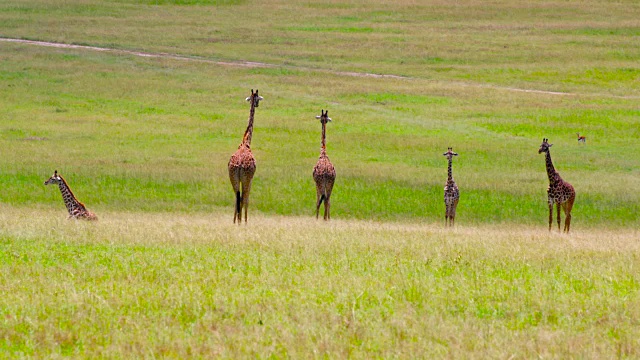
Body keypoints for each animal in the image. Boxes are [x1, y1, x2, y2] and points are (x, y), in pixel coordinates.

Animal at [228, 88, 262, 224]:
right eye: (258, 98)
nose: (257, 104)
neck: (246, 141)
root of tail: (239, 166)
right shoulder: (251, 178)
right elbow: (247, 199)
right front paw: (246, 221)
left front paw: (239, 220)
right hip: (246, 178)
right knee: (243, 198)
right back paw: (241, 221)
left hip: (233, 178)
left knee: (236, 198)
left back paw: (235, 221)